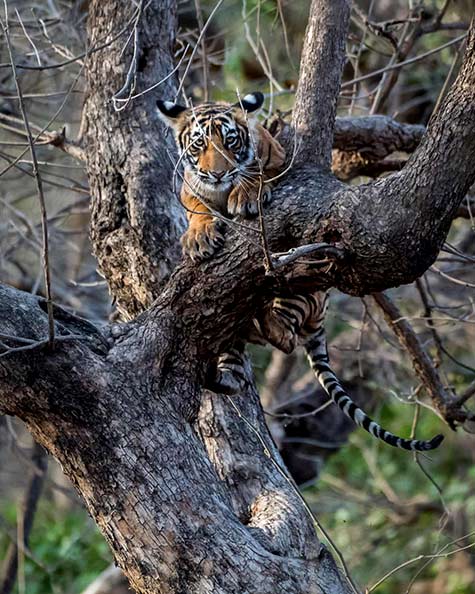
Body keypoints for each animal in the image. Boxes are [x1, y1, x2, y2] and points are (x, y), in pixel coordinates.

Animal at [158, 92, 286, 260]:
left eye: (230, 140)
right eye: (199, 142)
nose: (217, 174)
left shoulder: (278, 158)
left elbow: (259, 172)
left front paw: (244, 195)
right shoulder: (189, 190)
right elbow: (197, 208)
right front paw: (198, 235)